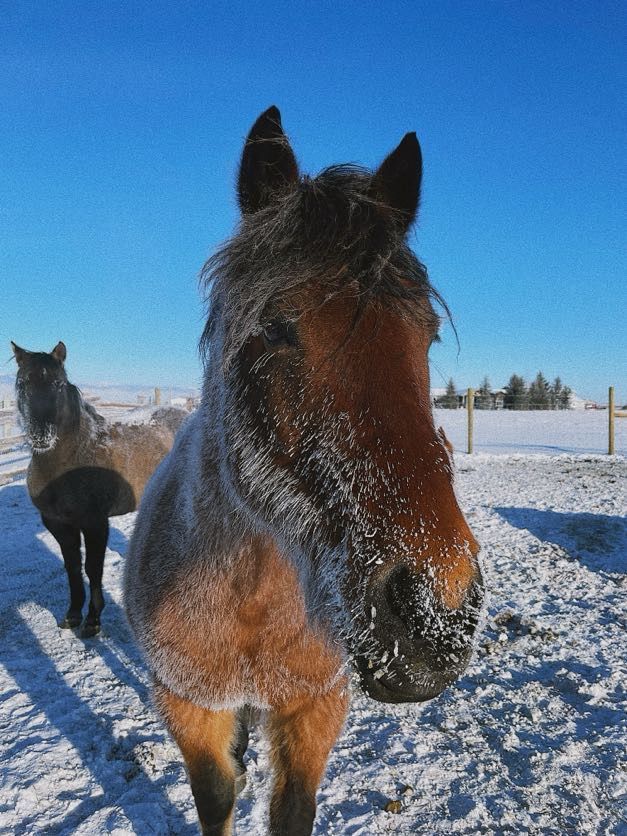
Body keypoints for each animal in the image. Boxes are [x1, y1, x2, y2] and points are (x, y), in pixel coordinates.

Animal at [11, 340, 187, 637]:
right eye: (22, 383)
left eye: (58, 384)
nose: (41, 435)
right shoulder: (57, 523)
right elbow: (72, 567)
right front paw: (72, 615)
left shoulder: (95, 523)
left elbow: (93, 568)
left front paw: (93, 620)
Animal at [123, 107, 484, 835]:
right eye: (276, 328)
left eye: (427, 334)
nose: (435, 612)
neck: (252, 602)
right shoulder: (187, 706)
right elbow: (216, 797)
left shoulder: (316, 708)